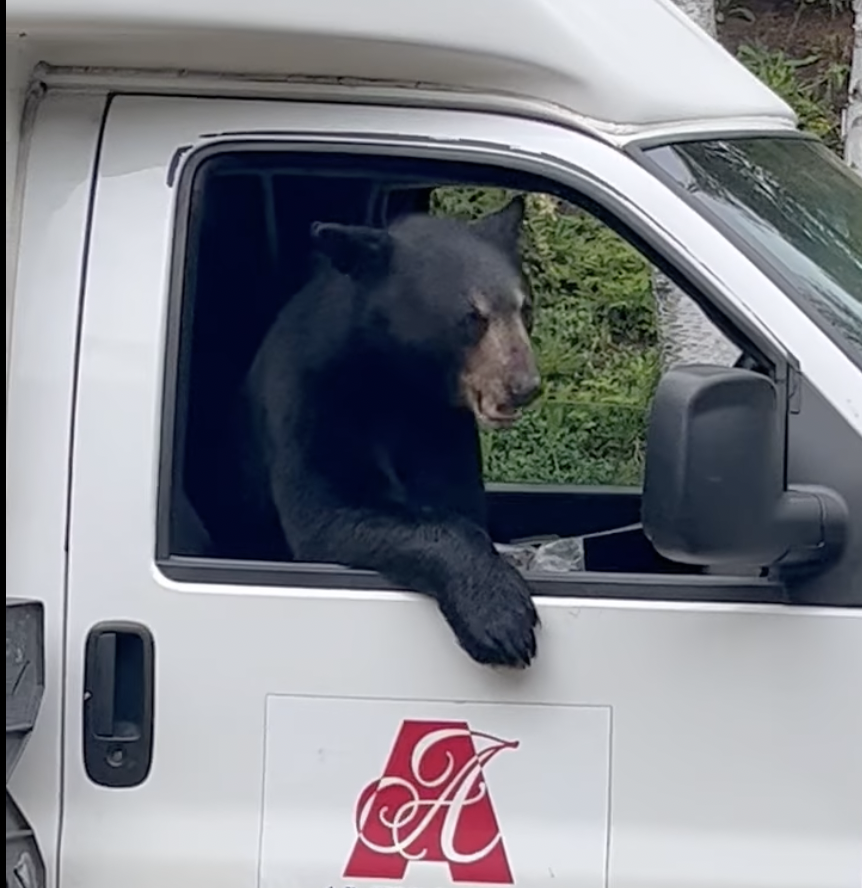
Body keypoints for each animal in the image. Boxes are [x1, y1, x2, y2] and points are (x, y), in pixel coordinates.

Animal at [240, 196, 544, 664]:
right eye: (472, 317)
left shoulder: (439, 425)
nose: (524, 386)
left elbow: (454, 496)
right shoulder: (311, 397)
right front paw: (501, 617)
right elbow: (330, 505)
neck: (396, 380)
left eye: (524, 307)